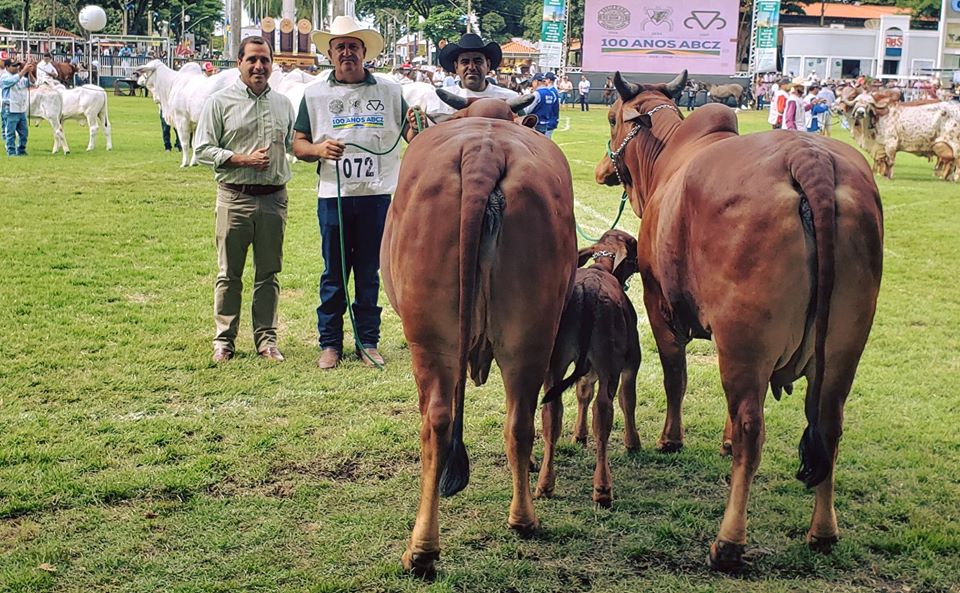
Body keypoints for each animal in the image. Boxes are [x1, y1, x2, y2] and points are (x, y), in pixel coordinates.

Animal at [382, 95, 576, 576]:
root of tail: (482, 153)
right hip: (530, 335)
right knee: (518, 421)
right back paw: (522, 518)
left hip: (429, 340)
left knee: (435, 421)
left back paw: (421, 549)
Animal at [536, 229, 640, 506]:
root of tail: (590, 290)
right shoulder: (631, 362)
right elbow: (628, 400)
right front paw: (633, 443)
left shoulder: (587, 368)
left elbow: (583, 392)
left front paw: (578, 435)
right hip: (609, 366)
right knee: (603, 413)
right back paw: (603, 488)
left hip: (555, 363)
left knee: (552, 413)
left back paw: (545, 483)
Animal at [600, 71, 884, 572]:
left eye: (613, 117)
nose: (603, 168)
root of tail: (808, 156)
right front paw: (723, 441)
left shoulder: (659, 303)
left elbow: (676, 376)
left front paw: (670, 440)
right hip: (841, 347)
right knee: (828, 425)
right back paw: (823, 531)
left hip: (745, 339)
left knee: (754, 427)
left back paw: (728, 542)